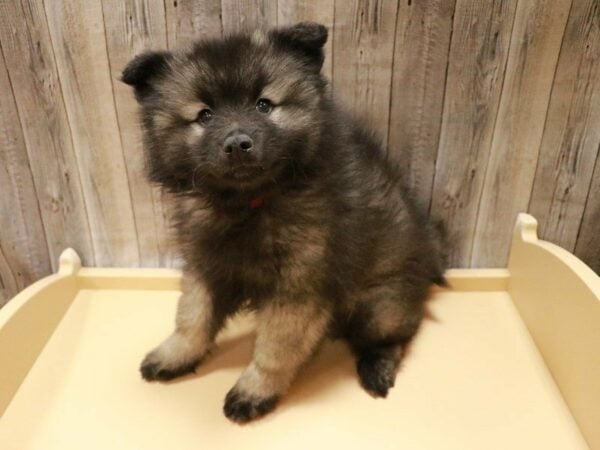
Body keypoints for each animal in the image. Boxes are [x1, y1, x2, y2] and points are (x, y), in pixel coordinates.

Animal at [122, 21, 448, 422]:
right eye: (204, 115)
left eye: (263, 105)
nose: (238, 143)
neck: (249, 204)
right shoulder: (206, 267)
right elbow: (192, 319)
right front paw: (176, 355)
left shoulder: (297, 287)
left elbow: (274, 349)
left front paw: (254, 391)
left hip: (381, 305)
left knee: (395, 336)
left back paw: (377, 367)